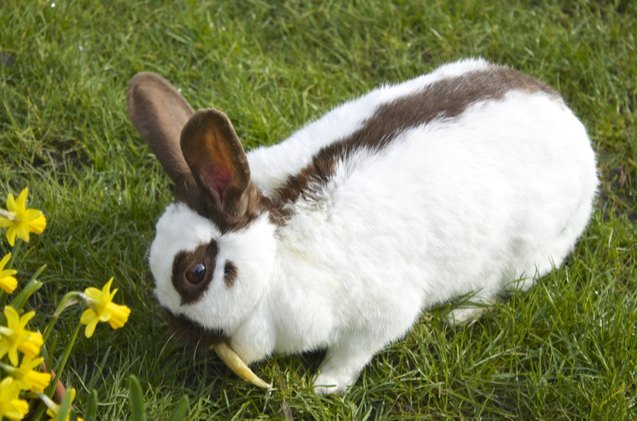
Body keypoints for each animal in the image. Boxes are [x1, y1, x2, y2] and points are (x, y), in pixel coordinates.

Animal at [128, 57, 596, 392]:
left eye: (196, 272)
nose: (178, 330)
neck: (275, 248)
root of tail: (576, 131)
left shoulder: (380, 316)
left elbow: (354, 353)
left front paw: (325, 386)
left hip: (523, 255)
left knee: (497, 289)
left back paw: (458, 315)